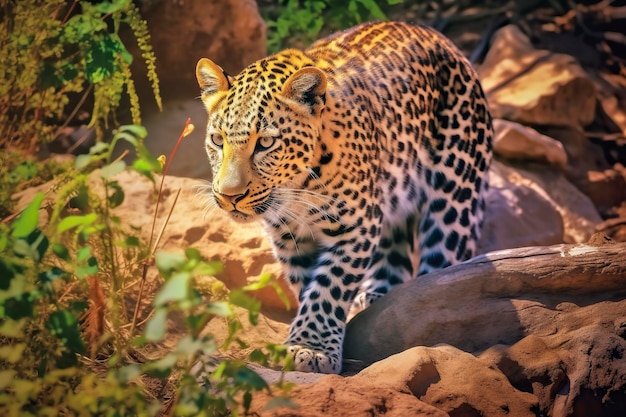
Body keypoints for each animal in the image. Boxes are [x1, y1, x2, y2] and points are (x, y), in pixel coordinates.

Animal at [195, 20, 492, 374]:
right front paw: (308, 341)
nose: (230, 196)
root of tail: (439, 37)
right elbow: (307, 285)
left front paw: (311, 348)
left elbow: (329, 287)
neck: (296, 191)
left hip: (453, 194)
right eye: (217, 140)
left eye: (265, 143)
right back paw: (379, 297)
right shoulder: (290, 236)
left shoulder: (356, 225)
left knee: (443, 260)